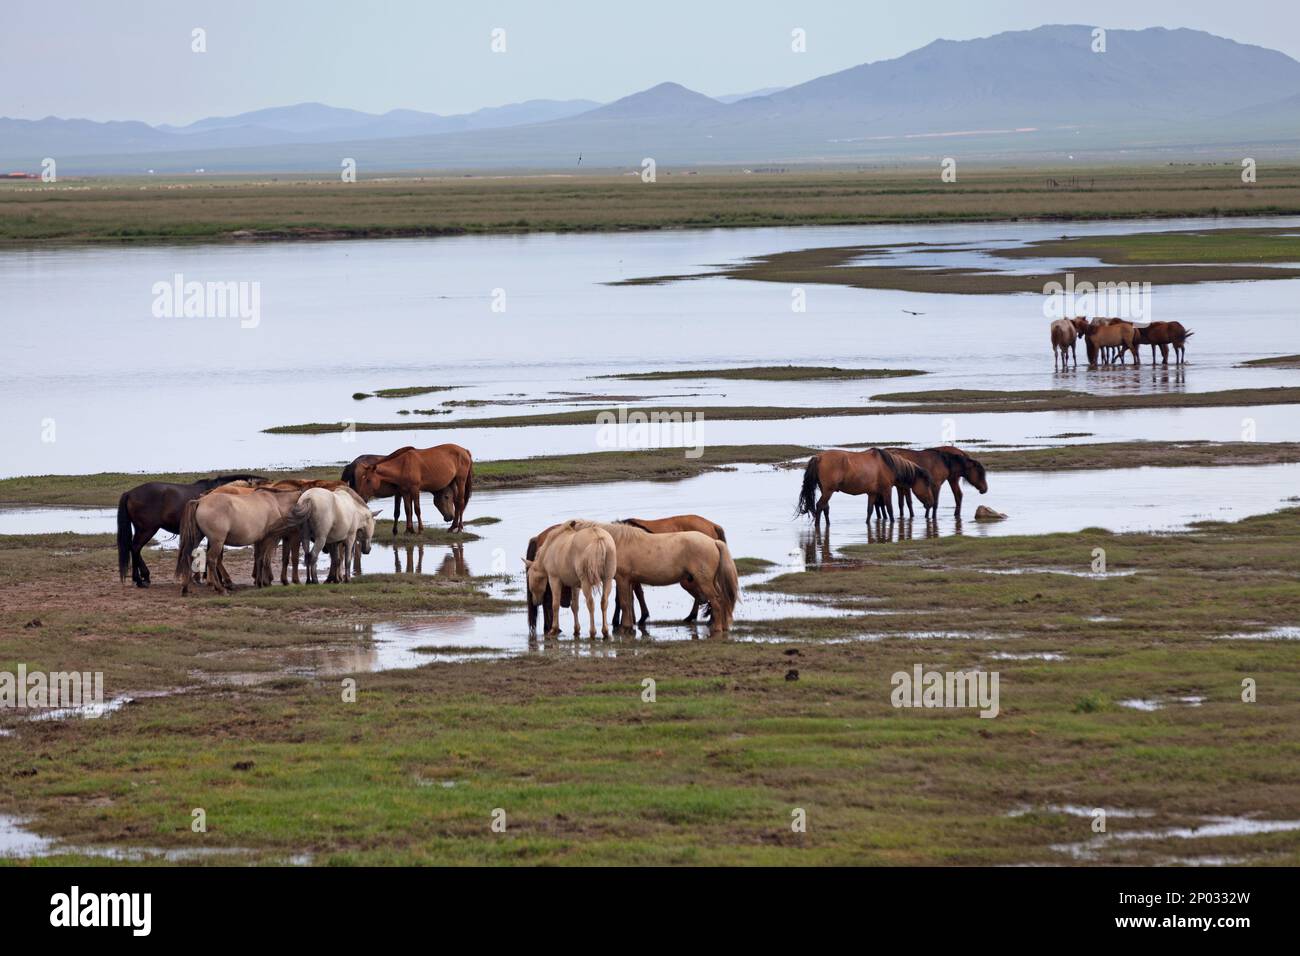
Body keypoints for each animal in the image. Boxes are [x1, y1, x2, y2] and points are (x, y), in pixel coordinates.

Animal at [117, 474, 267, 588]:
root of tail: (129, 493)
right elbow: (217, 555)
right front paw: (215, 579)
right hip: (147, 530)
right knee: (135, 548)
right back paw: (141, 580)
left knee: (134, 548)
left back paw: (141, 578)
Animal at [598, 522, 739, 637]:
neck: (617, 542)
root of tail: (713, 542)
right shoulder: (629, 580)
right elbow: (628, 602)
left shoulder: (622, 578)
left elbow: (624, 603)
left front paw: (623, 627)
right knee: (722, 600)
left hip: (704, 582)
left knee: (716, 601)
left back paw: (717, 628)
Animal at [795, 448, 933, 528]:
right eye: (927, 484)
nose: (931, 503)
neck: (888, 465)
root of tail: (819, 457)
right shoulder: (887, 490)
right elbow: (889, 509)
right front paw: (893, 522)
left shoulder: (872, 493)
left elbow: (870, 510)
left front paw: (867, 523)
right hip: (828, 491)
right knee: (819, 506)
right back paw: (817, 525)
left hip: (826, 490)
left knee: (825, 507)